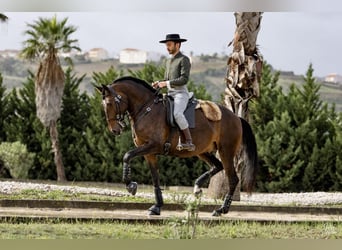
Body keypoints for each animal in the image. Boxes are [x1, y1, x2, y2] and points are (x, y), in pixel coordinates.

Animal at [95, 76, 258, 217]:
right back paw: (198, 187)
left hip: (226, 151)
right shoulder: (148, 152)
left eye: (109, 103)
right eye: (103, 105)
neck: (146, 108)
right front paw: (157, 207)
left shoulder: (153, 146)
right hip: (202, 151)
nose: (115, 130)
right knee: (217, 166)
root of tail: (236, 117)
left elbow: (127, 155)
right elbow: (155, 178)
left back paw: (221, 209)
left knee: (233, 178)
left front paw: (131, 185)